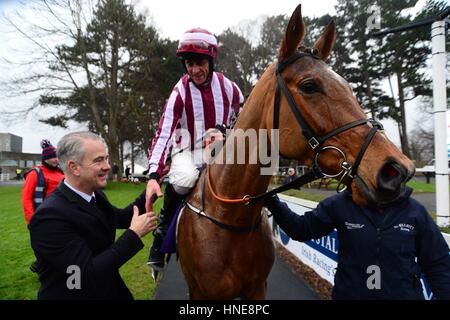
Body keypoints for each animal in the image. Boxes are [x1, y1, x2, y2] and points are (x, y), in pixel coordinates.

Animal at [177, 4, 414, 300]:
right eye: (309, 86)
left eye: (348, 86)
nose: (396, 169)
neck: (230, 217)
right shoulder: (202, 293)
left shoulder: (257, 288)